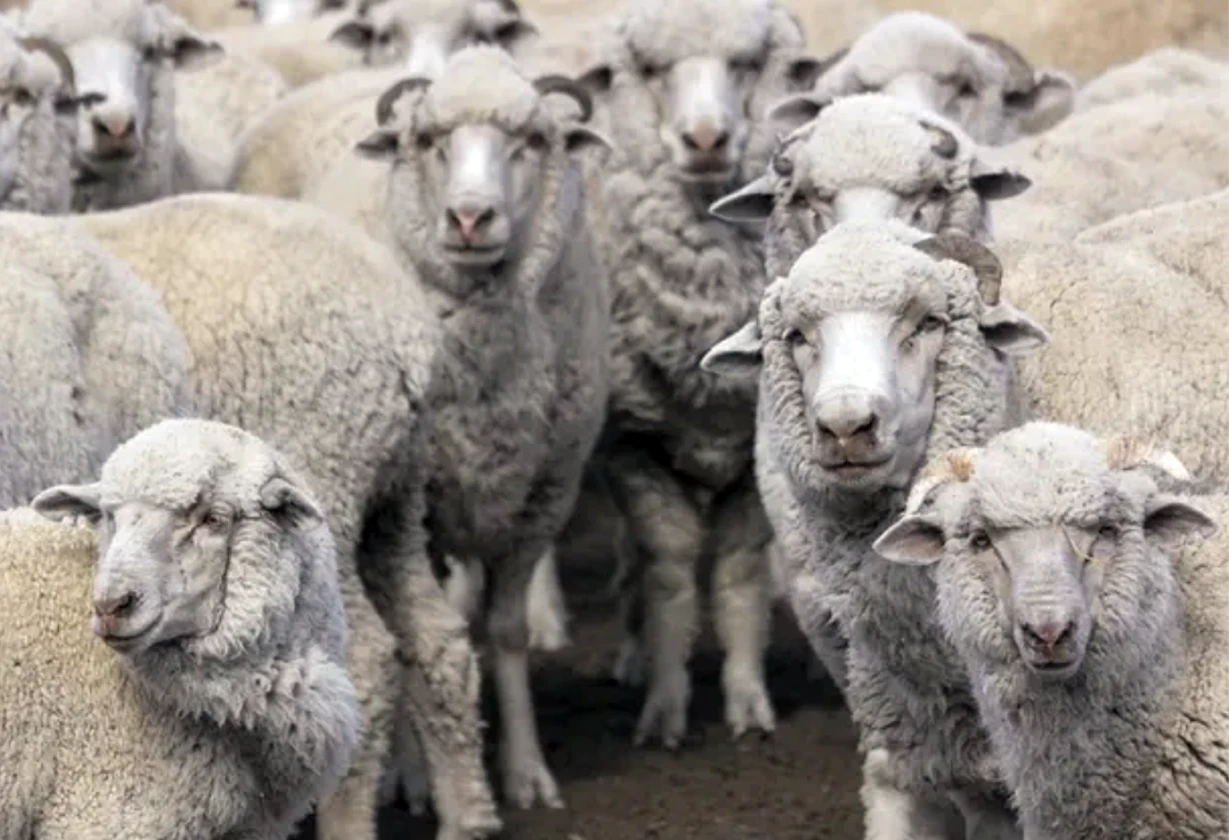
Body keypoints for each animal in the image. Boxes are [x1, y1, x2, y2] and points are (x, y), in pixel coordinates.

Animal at [75, 191, 500, 840]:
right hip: (394, 504)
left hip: (325, 487)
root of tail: (407, 332)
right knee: (441, 641)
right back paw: (466, 815)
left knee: (366, 662)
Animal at [305, 45, 612, 810]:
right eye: (428, 141)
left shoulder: (543, 499)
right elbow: (419, 634)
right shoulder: (417, 507)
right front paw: (412, 774)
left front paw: (526, 771)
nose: (470, 218)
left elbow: (505, 631)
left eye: (531, 140)